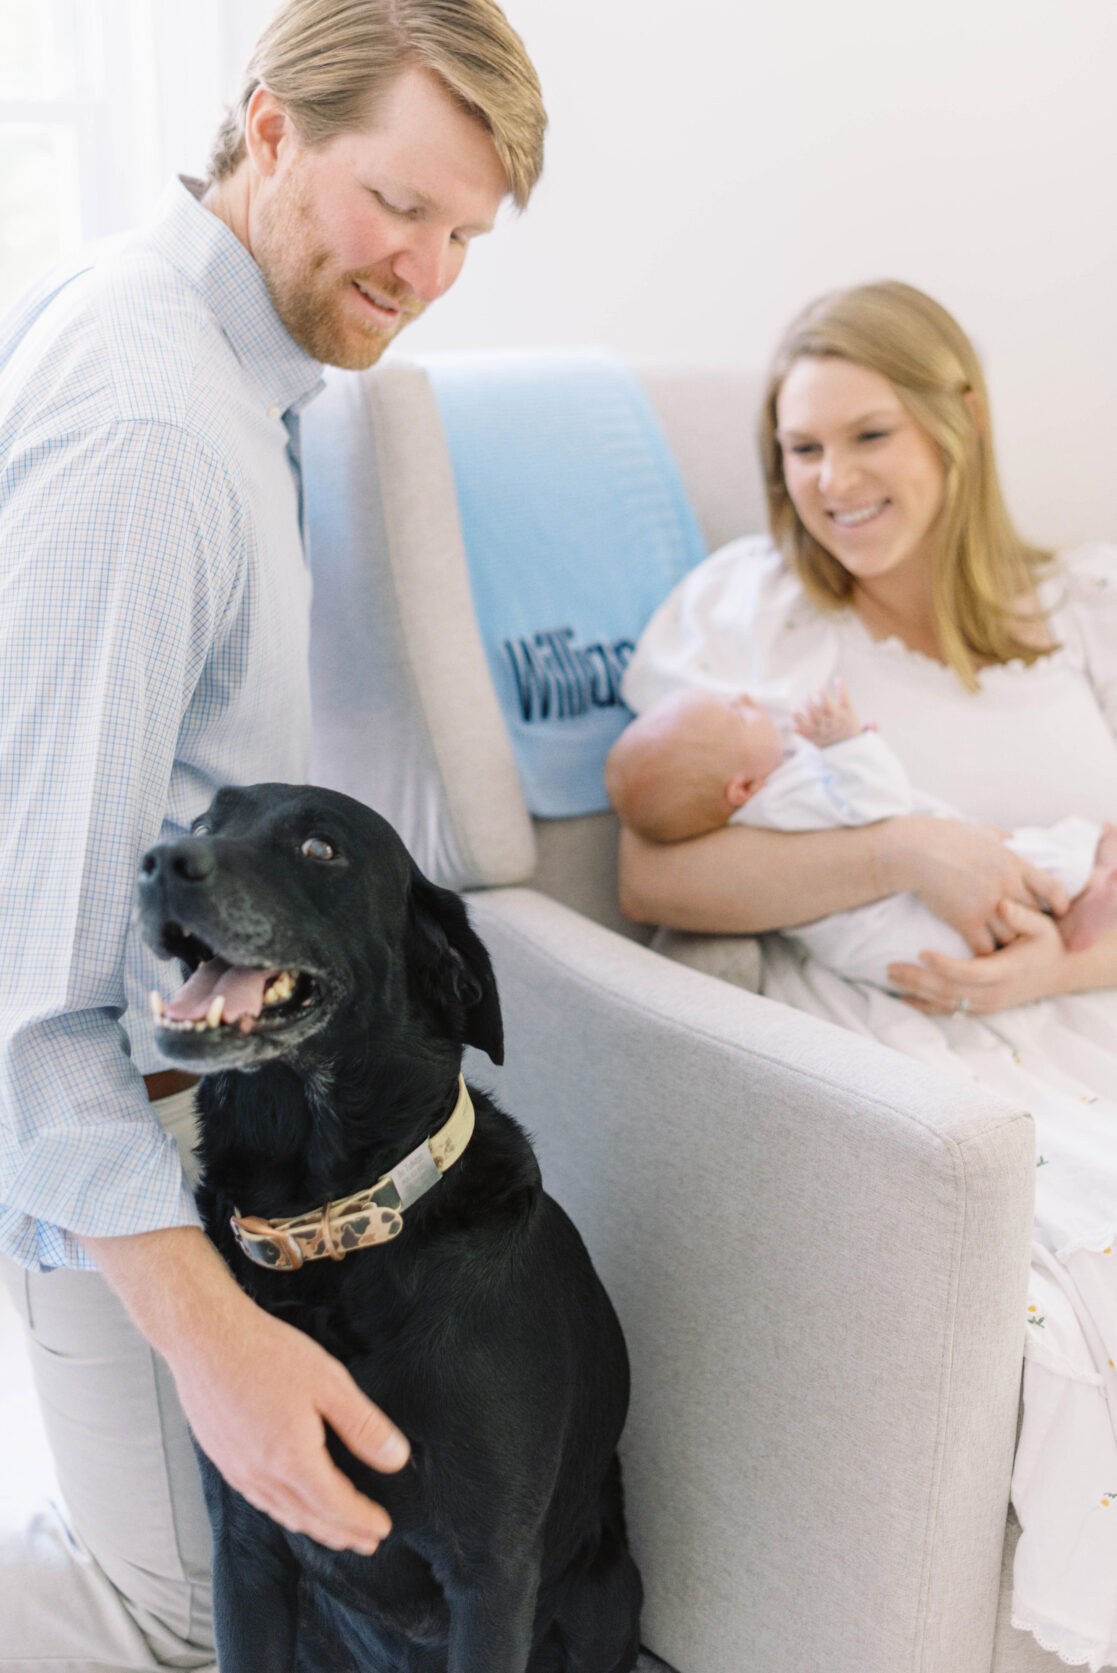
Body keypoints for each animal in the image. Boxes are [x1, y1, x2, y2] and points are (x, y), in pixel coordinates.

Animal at [138, 789, 642, 1673]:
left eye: (320, 847)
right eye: (204, 823)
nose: (160, 860)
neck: (328, 1228)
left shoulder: (490, 1575)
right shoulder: (244, 1542)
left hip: (608, 1591)